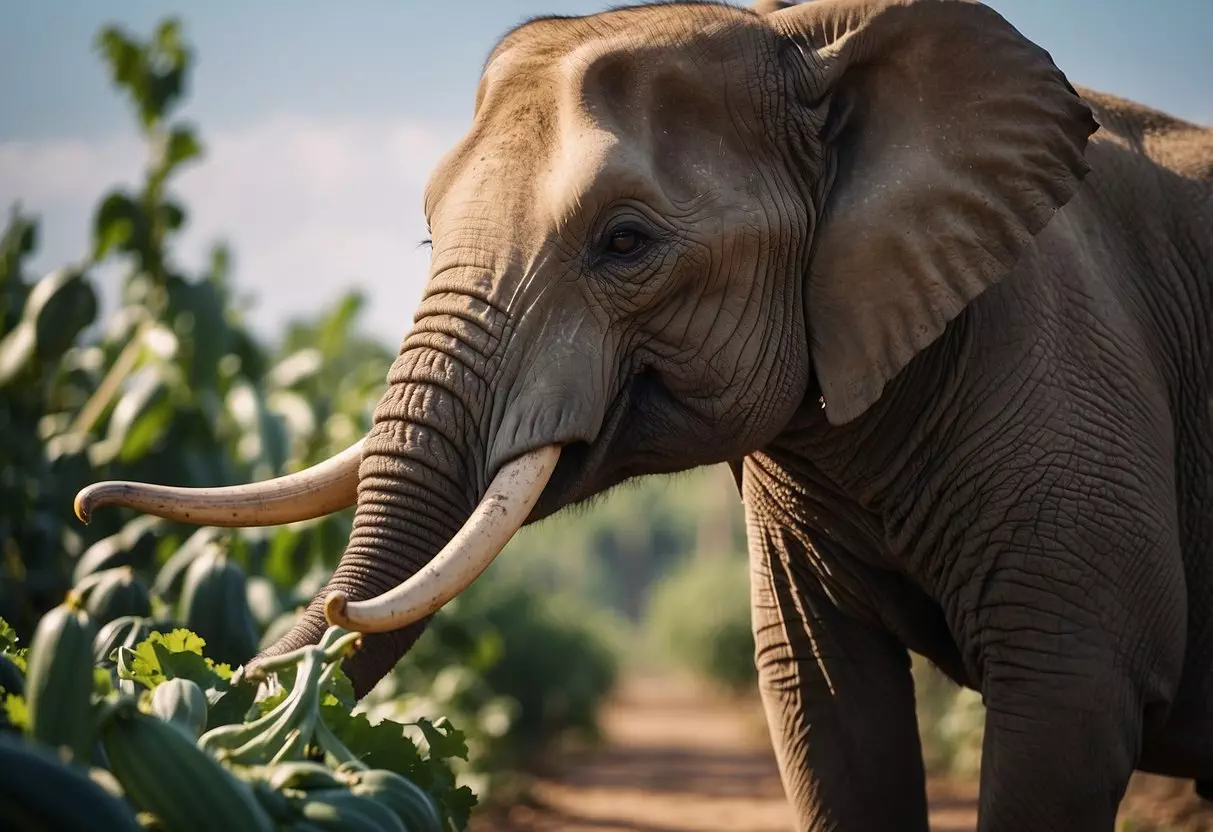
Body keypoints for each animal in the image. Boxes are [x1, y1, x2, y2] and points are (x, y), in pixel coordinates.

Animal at [78, 0, 1213, 829]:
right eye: (428, 235)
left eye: (624, 243)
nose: (91, 507)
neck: (812, 38)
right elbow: (827, 709)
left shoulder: (1065, 382)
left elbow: (1063, 705)